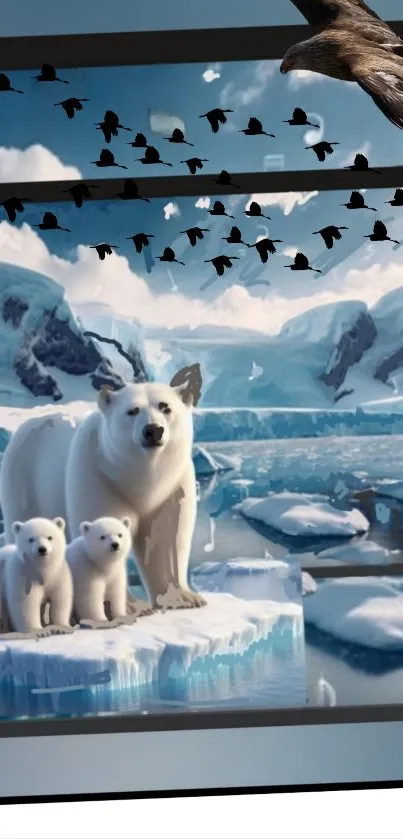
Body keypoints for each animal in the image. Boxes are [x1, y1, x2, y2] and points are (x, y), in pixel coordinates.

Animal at [0, 364, 207, 612]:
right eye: (132, 410)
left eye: (165, 406)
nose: (153, 430)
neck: (142, 478)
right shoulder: (99, 474)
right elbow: (104, 525)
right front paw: (130, 605)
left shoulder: (173, 485)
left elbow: (165, 534)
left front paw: (184, 598)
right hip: (24, 478)